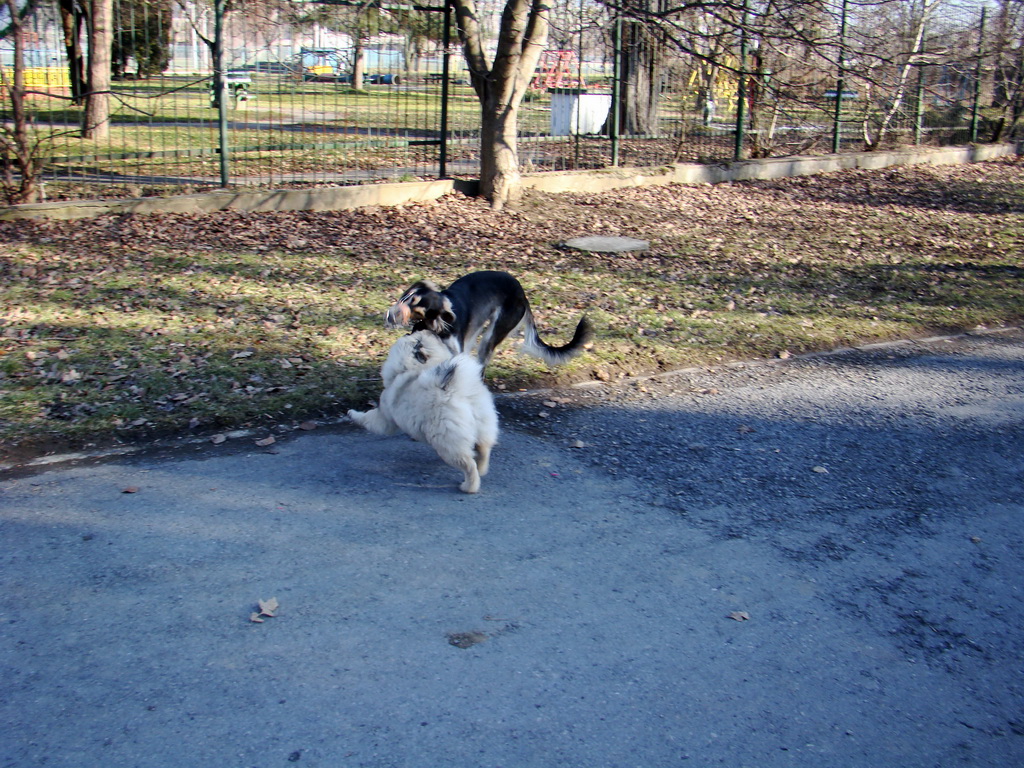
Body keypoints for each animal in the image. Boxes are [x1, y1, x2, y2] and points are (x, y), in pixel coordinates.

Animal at [348, 331, 499, 493]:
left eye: (416, 340)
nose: (409, 331)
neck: (411, 369)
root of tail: (457, 391)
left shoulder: (384, 417)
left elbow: (367, 417)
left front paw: (352, 414)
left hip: (448, 442)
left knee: (468, 465)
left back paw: (469, 486)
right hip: (483, 426)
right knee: (484, 449)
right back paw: (482, 469)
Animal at [385, 272, 593, 368]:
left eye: (417, 309)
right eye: (407, 298)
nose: (389, 316)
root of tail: (522, 294)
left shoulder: (455, 350)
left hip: (492, 336)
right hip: (476, 331)